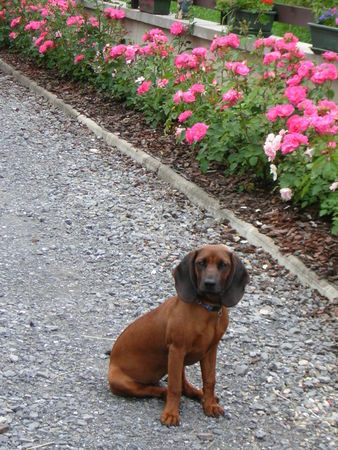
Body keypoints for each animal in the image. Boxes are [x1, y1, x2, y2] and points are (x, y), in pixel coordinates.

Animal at [108, 246, 248, 426]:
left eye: (223, 264)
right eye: (201, 263)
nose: (209, 283)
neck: (207, 309)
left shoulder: (210, 350)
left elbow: (209, 380)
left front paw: (210, 404)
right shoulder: (176, 349)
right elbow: (175, 386)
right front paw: (171, 414)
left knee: (184, 385)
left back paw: (198, 394)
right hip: (122, 381)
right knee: (155, 389)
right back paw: (165, 394)